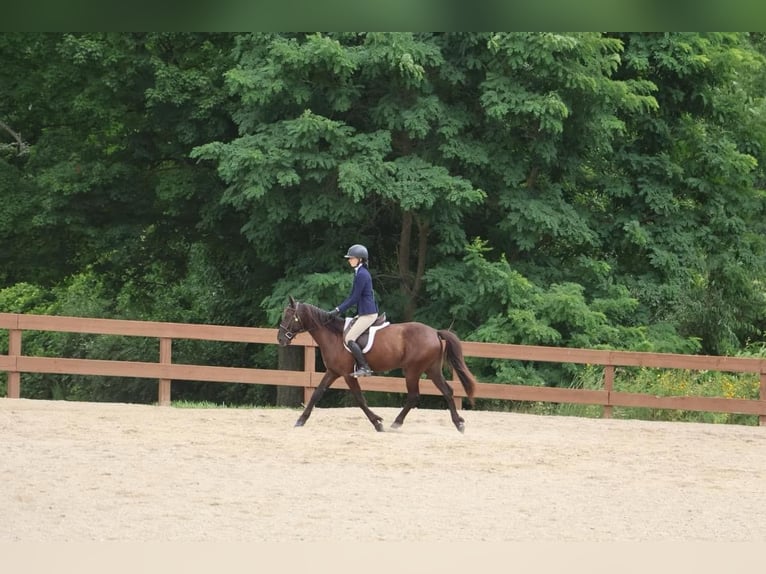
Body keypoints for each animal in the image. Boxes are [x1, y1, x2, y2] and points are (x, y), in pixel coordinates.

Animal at [277, 296, 477, 432]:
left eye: (288, 316)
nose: (280, 339)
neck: (333, 336)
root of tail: (435, 332)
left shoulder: (347, 374)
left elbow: (359, 398)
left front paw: (377, 422)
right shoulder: (333, 372)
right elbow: (316, 394)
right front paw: (301, 420)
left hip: (412, 370)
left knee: (414, 396)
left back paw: (396, 423)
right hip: (432, 369)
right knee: (447, 391)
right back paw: (458, 423)